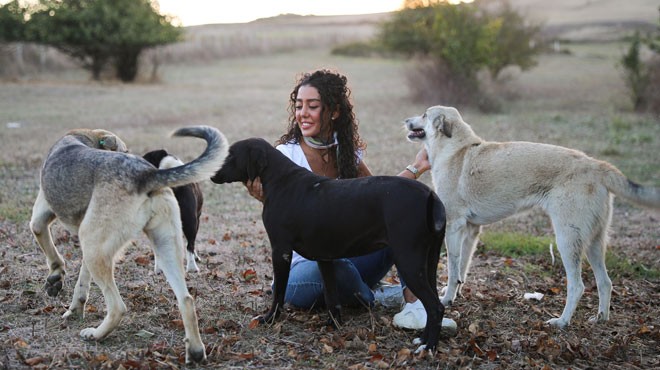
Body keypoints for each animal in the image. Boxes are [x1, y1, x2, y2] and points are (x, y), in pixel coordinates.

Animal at [29, 125, 228, 362]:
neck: (84, 136)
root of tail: (146, 175)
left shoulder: (41, 217)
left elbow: (48, 246)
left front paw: (55, 277)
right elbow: (82, 283)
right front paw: (75, 308)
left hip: (93, 244)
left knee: (118, 307)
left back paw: (95, 334)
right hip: (162, 246)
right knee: (186, 300)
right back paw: (196, 352)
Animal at [211, 139, 448, 352]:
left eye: (231, 155)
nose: (211, 174)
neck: (280, 181)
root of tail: (429, 194)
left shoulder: (281, 251)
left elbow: (278, 292)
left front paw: (269, 318)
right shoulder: (324, 257)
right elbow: (331, 296)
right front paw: (333, 325)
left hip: (408, 259)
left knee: (435, 306)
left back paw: (429, 347)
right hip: (429, 261)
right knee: (434, 303)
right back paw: (423, 339)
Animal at [402, 105, 660, 328]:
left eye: (424, 114)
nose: (405, 120)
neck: (456, 149)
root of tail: (596, 165)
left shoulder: (454, 227)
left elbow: (453, 268)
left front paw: (446, 299)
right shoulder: (471, 230)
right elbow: (462, 269)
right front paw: (456, 294)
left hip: (567, 240)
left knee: (577, 286)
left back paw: (562, 322)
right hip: (594, 242)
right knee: (605, 282)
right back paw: (601, 319)